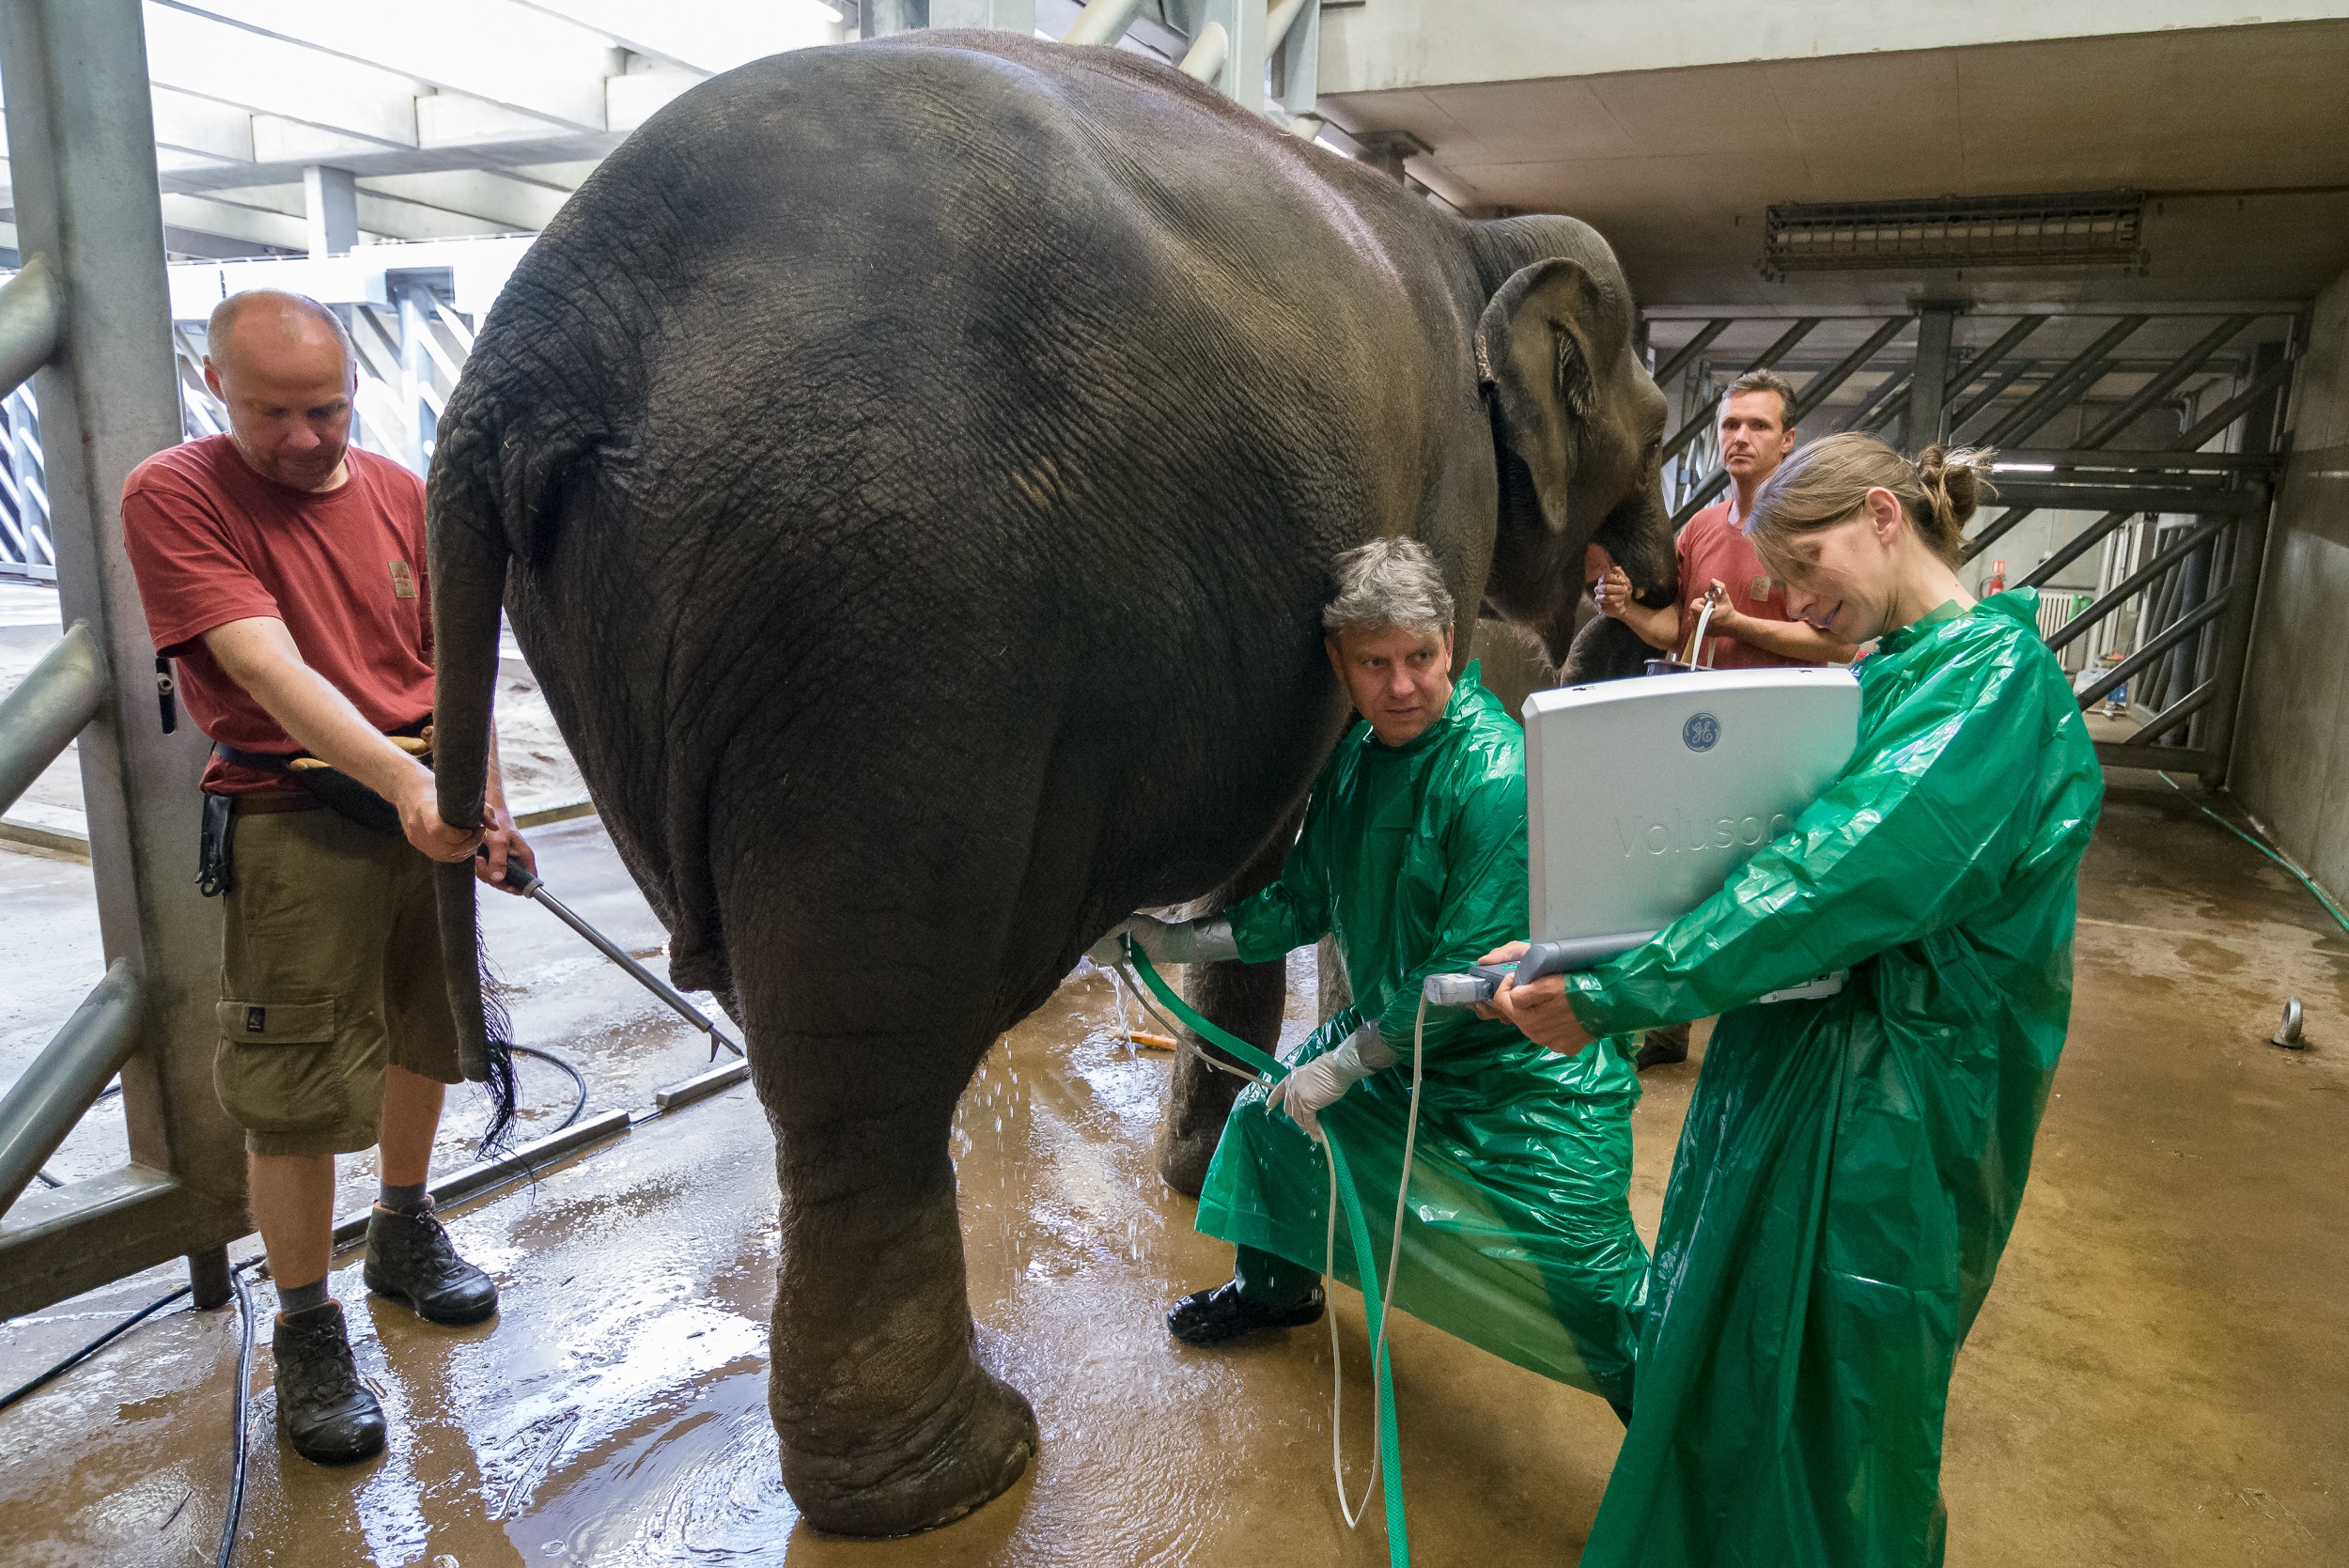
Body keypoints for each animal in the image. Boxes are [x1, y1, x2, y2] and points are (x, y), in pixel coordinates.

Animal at [432, 27, 1682, 1540]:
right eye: (1655, 417)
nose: (1660, 594)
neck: (1469, 234)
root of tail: (530, 343)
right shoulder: (1437, 491)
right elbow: (1314, 826)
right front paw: (1257, 1173)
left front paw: (1219, 1174)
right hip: (888, 628)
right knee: (870, 1063)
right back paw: (966, 1476)